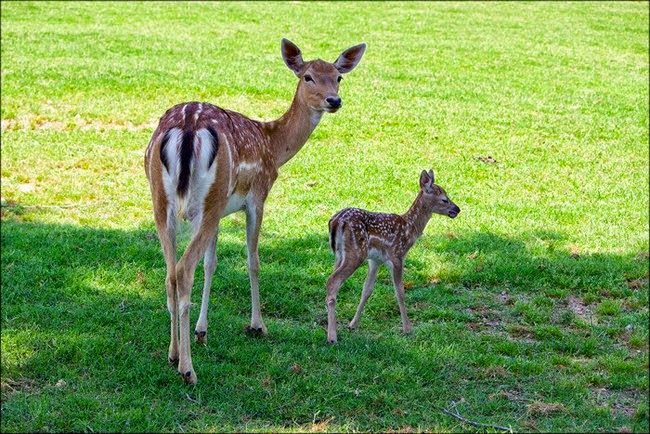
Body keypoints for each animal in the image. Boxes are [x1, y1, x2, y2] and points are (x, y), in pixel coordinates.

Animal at [144, 38, 364, 384]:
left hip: (165, 202)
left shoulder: (219, 210)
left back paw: (173, 353)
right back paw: (188, 369)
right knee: (183, 270)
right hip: (206, 201)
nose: (334, 100)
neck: (274, 146)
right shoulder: (258, 195)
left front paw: (202, 330)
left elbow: (211, 264)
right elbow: (253, 261)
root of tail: (188, 127)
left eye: (338, 76)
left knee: (170, 272)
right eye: (308, 77)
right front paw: (258, 325)